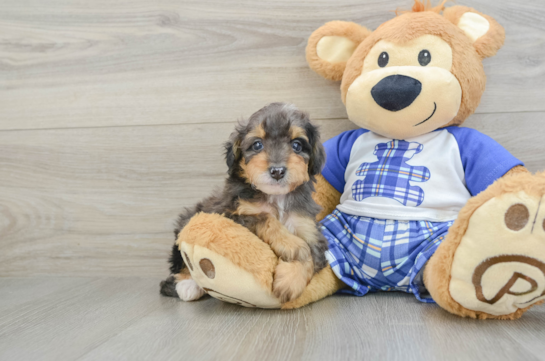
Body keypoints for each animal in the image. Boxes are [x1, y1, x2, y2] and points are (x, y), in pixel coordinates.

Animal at [158, 102, 328, 302]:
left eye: (297, 145)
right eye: (257, 144)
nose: (277, 171)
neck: (276, 197)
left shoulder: (308, 227)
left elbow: (312, 255)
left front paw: (289, 282)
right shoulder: (229, 214)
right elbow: (264, 217)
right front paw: (292, 244)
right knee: (181, 262)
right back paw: (188, 285)